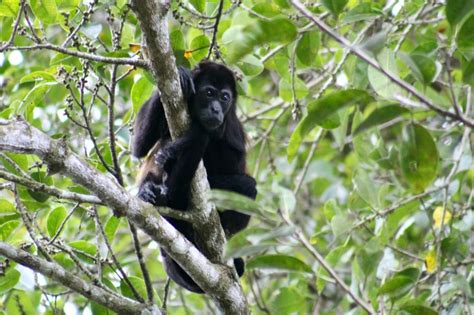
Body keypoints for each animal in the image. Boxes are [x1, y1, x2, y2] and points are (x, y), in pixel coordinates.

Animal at [131, 61, 258, 294]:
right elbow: (139, 145)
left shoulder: (232, 127)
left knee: (249, 186)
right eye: (209, 93)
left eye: (224, 98)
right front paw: (182, 72)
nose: (216, 109)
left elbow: (232, 166)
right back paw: (150, 191)